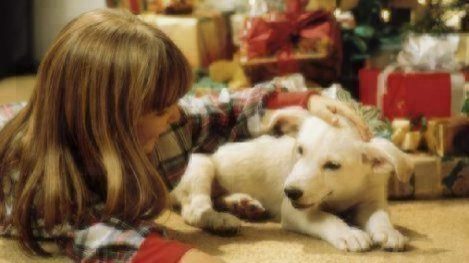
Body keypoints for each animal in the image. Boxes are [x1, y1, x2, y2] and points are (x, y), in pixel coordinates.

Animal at [170, 107, 412, 254]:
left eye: (333, 166)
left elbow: (380, 216)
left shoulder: (371, 199)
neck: (343, 193)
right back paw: (221, 220)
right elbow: (326, 218)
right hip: (200, 166)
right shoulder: (294, 211)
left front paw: (389, 232)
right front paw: (348, 233)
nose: (291, 192)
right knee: (194, 210)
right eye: (300, 150)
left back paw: (243, 204)